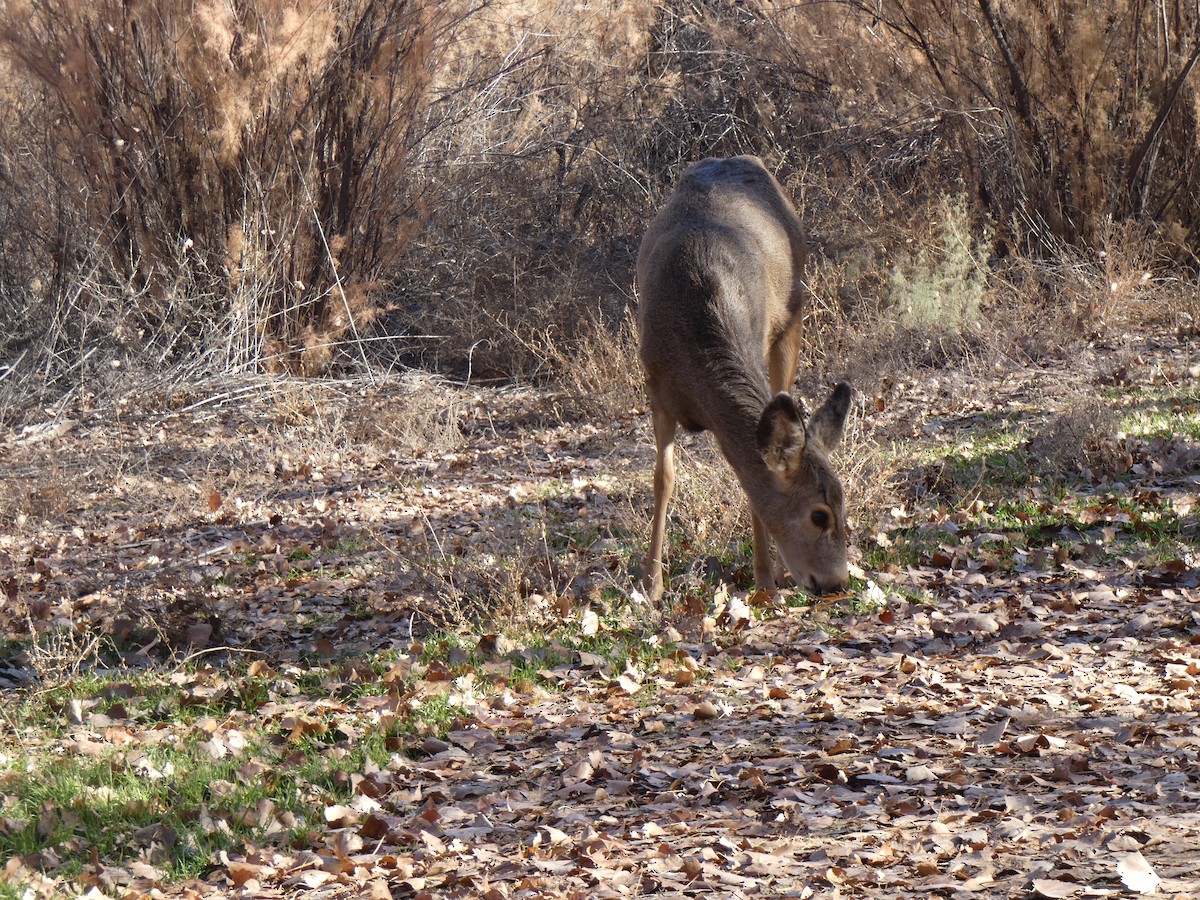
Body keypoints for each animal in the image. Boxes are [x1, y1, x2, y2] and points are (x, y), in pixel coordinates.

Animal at [636, 155, 852, 606]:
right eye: (819, 515)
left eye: (844, 506)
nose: (836, 583)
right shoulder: (656, 387)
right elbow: (663, 479)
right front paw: (651, 584)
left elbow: (752, 487)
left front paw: (766, 580)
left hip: (791, 320)